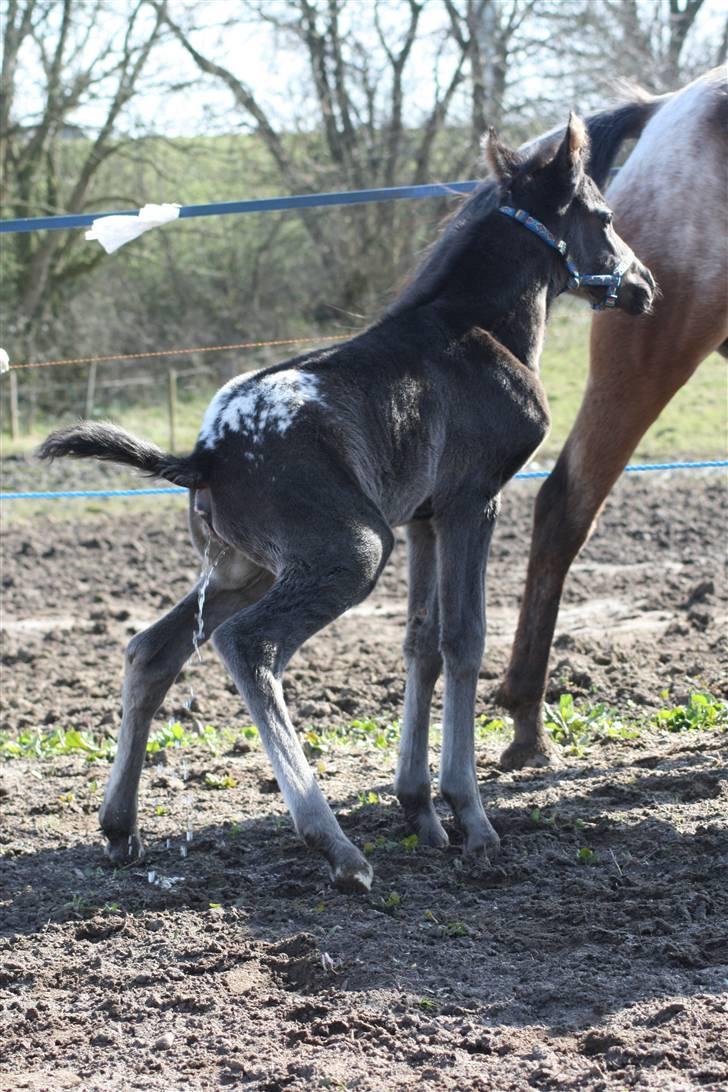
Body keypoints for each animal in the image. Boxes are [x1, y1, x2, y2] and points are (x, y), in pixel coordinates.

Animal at [39, 117, 654, 895]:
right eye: (602, 217)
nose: (645, 287)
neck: (477, 328)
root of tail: (204, 452)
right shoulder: (470, 503)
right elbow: (464, 639)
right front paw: (472, 820)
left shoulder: (422, 520)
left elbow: (421, 641)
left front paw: (421, 813)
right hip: (353, 549)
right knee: (248, 646)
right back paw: (335, 846)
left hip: (247, 568)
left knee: (152, 650)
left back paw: (121, 829)